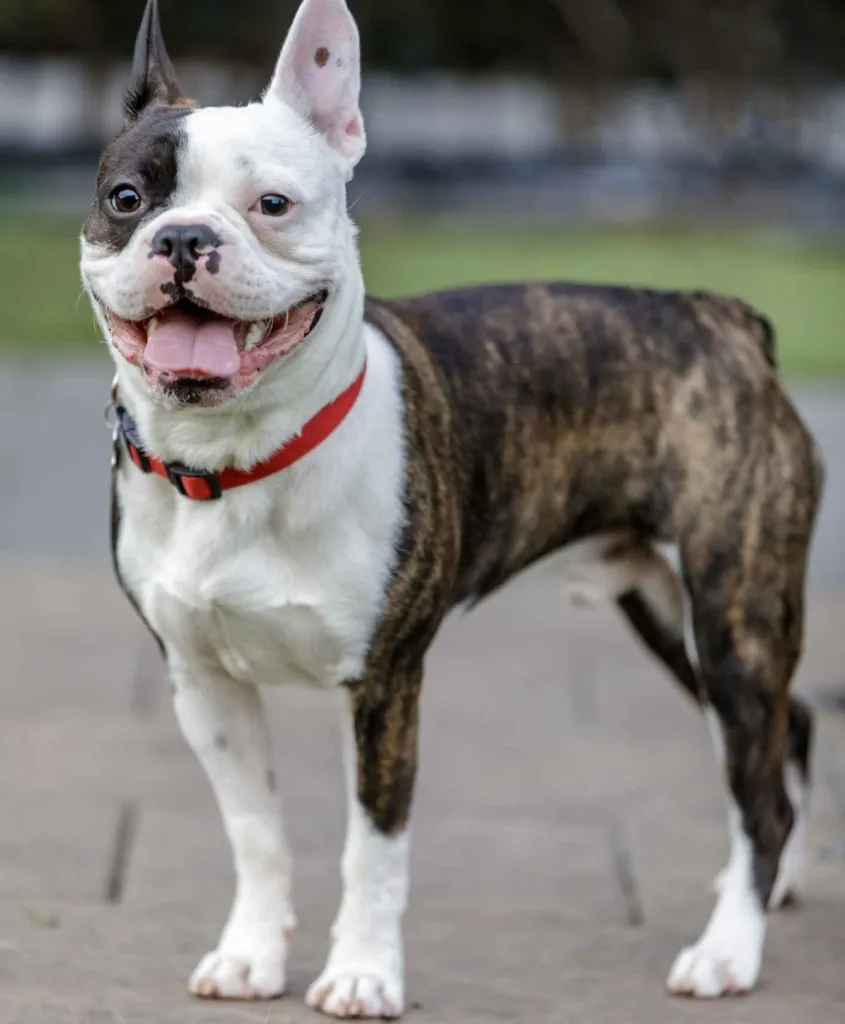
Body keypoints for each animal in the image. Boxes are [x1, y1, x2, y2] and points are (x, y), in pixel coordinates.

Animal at [80, 0, 823, 1011]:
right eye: (128, 200)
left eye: (272, 204)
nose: (185, 239)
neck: (237, 460)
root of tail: (724, 319)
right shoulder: (205, 685)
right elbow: (256, 834)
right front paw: (250, 955)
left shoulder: (384, 684)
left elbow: (373, 847)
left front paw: (361, 975)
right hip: (672, 615)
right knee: (793, 729)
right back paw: (778, 885)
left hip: (730, 615)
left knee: (758, 787)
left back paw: (727, 951)